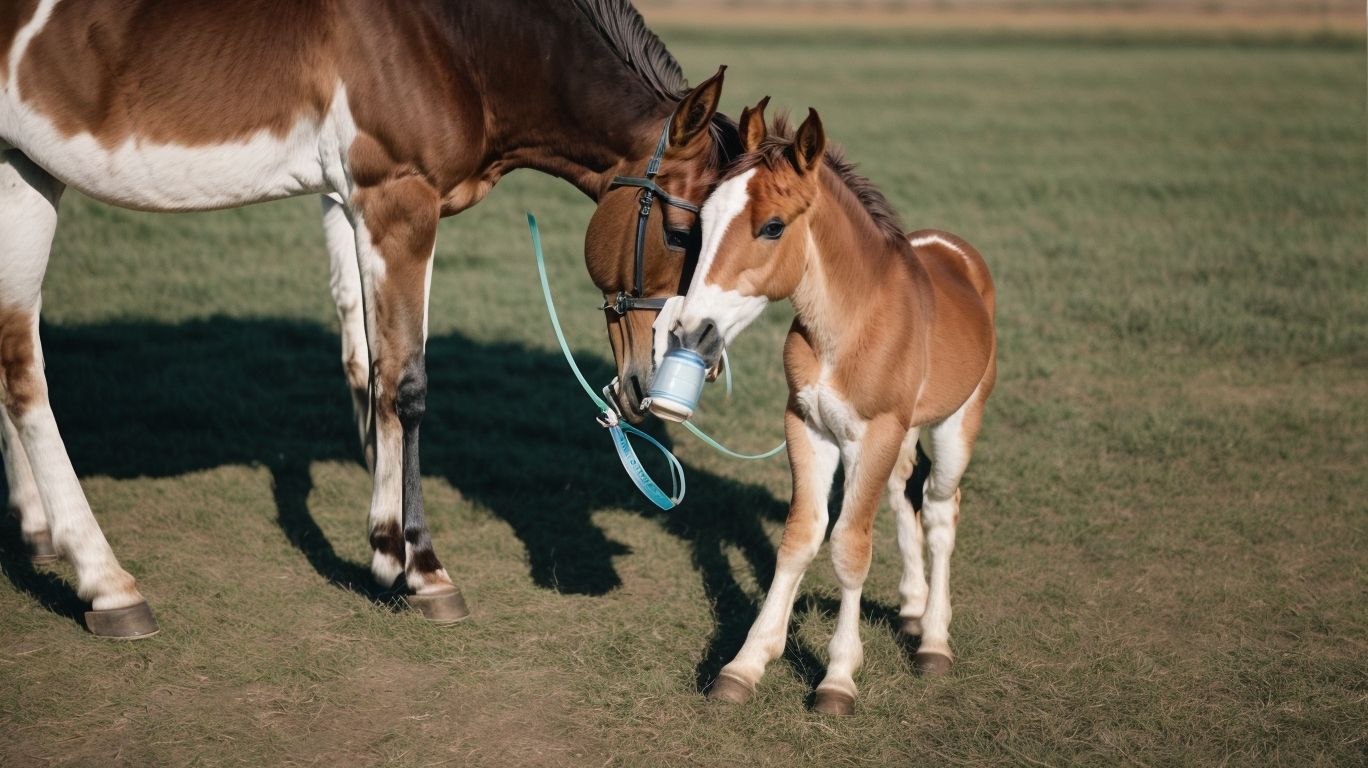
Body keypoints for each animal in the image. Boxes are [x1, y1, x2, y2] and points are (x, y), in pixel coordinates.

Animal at [0, 0, 737, 637]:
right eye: (681, 233)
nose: (656, 379)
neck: (452, 36)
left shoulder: (364, 205)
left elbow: (374, 367)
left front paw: (386, 551)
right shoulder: (398, 202)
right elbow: (407, 384)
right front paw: (426, 570)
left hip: (23, 172)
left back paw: (44, 534)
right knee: (24, 375)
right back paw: (107, 583)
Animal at [662, 102, 997, 714]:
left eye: (773, 226)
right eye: (704, 218)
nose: (691, 329)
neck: (847, 327)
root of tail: (952, 249)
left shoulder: (876, 434)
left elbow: (848, 547)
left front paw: (838, 678)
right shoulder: (807, 427)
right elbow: (800, 538)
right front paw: (744, 666)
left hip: (957, 423)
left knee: (941, 508)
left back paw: (934, 641)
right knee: (902, 491)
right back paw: (912, 609)